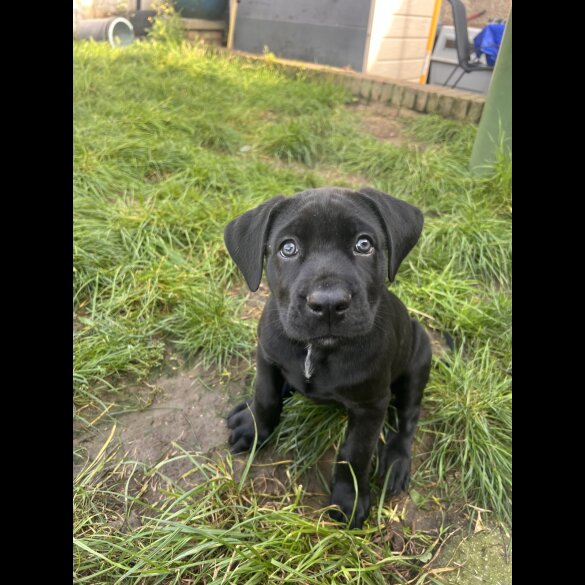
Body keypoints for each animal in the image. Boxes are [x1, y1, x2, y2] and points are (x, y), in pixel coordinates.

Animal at [221, 188, 432, 528]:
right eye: (288, 248)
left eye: (364, 244)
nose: (329, 303)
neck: (317, 350)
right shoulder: (267, 357)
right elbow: (266, 397)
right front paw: (254, 429)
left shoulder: (371, 405)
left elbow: (354, 453)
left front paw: (350, 498)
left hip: (419, 356)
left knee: (407, 418)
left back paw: (396, 461)